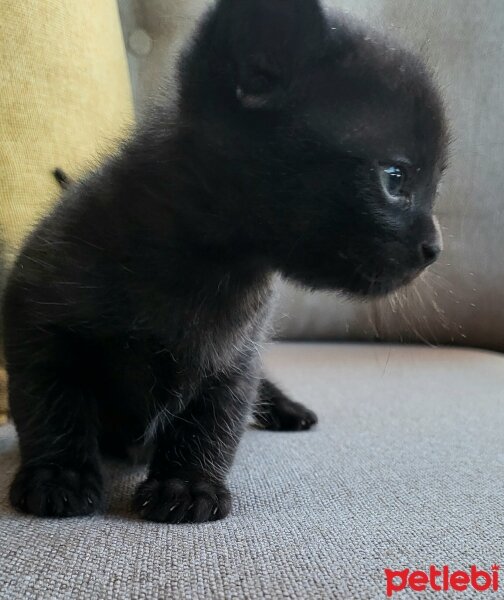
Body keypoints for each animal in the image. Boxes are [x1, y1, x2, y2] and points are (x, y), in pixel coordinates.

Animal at [2, 0, 444, 520]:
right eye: (395, 178)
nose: (435, 249)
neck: (205, 268)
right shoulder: (35, 320)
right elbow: (51, 405)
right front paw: (59, 474)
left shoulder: (234, 356)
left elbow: (213, 420)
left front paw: (185, 484)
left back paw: (285, 410)